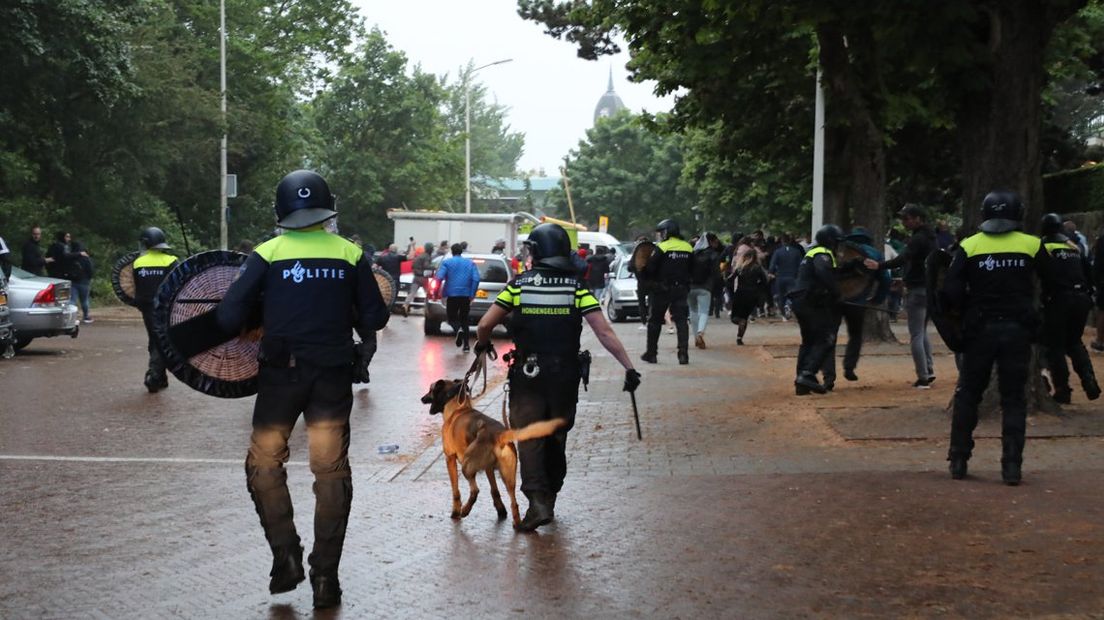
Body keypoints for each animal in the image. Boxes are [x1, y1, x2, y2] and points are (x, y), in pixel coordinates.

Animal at [419, 377, 565, 525]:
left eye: (431, 389)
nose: (422, 398)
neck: (458, 407)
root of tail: (499, 435)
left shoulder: (450, 458)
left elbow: (456, 491)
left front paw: (455, 511)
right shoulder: (488, 468)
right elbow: (494, 490)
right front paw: (501, 510)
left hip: (467, 467)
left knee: (475, 490)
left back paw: (464, 510)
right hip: (508, 477)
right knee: (514, 502)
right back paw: (519, 524)